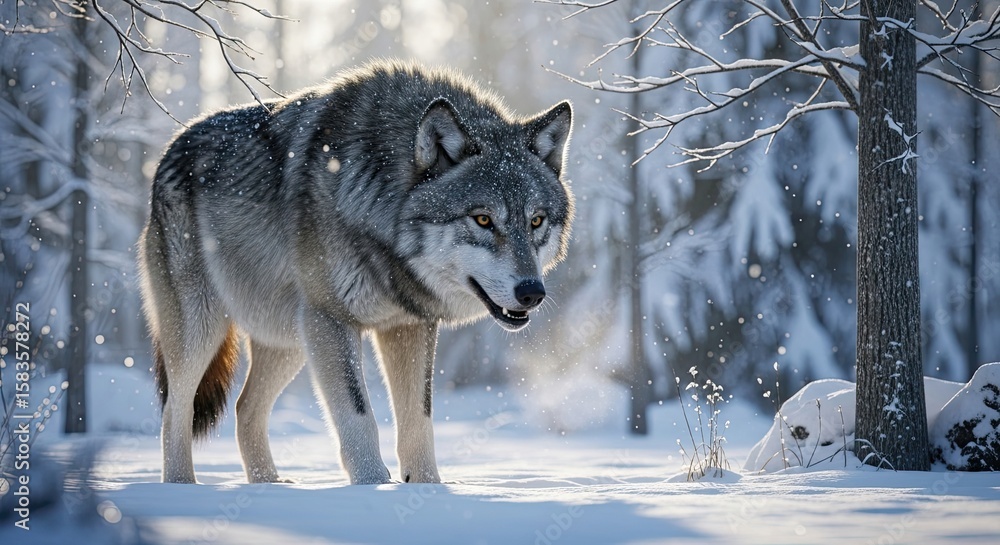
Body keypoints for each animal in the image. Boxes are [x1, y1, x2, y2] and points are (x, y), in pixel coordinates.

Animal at [137, 60, 574, 485]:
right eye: (483, 219)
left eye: (536, 221)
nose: (532, 292)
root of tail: (170, 148)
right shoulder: (331, 320)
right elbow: (358, 415)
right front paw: (373, 487)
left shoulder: (409, 326)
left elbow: (419, 421)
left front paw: (428, 487)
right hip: (205, 330)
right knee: (174, 410)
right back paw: (182, 487)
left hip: (291, 339)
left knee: (246, 408)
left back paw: (269, 485)